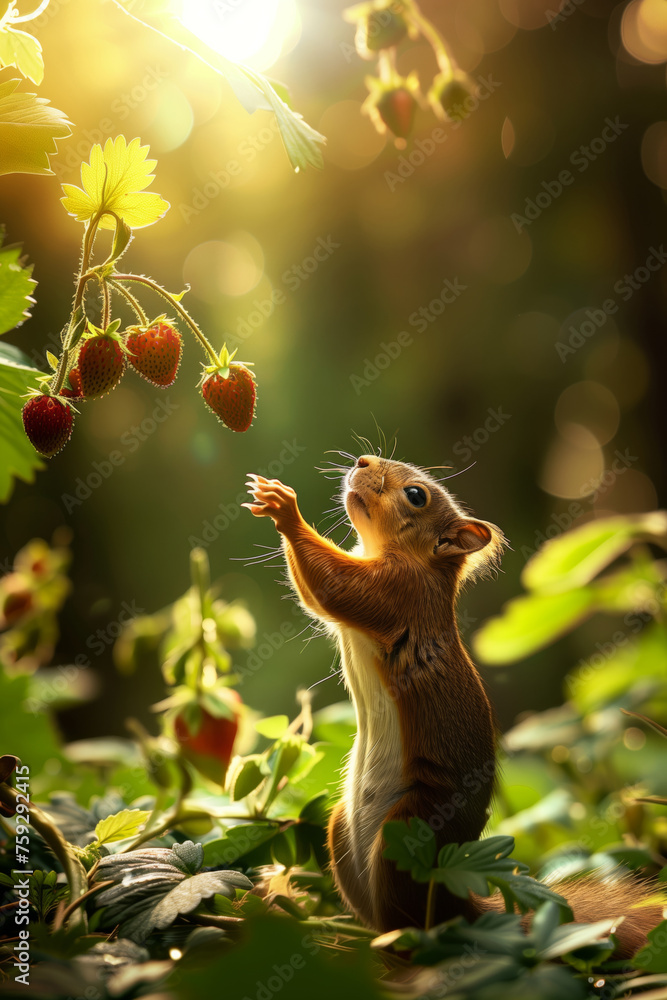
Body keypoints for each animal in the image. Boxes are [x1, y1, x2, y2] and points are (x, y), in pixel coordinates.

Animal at [244, 454, 663, 957]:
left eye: (416, 495)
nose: (363, 460)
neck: (416, 560)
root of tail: (457, 903)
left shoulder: (397, 593)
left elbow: (333, 586)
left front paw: (284, 508)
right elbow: (315, 596)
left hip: (408, 831)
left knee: (411, 923)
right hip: (340, 830)